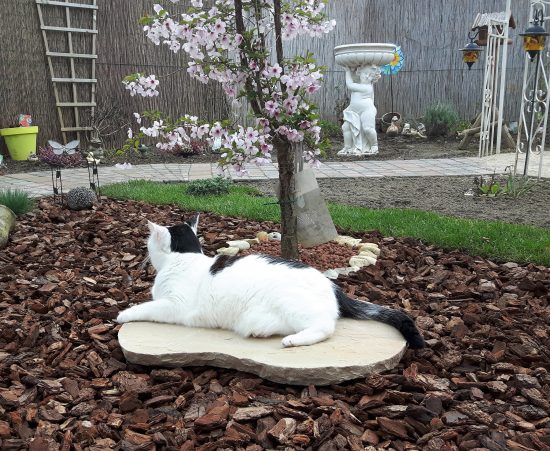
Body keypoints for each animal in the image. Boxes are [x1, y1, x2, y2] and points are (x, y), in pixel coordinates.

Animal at [116, 215, 425, 349]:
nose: (145, 249)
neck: (185, 260)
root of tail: (333, 286)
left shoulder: (174, 306)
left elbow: (146, 307)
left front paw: (123, 314)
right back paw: (260, 331)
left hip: (293, 304)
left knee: (325, 327)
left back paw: (293, 340)